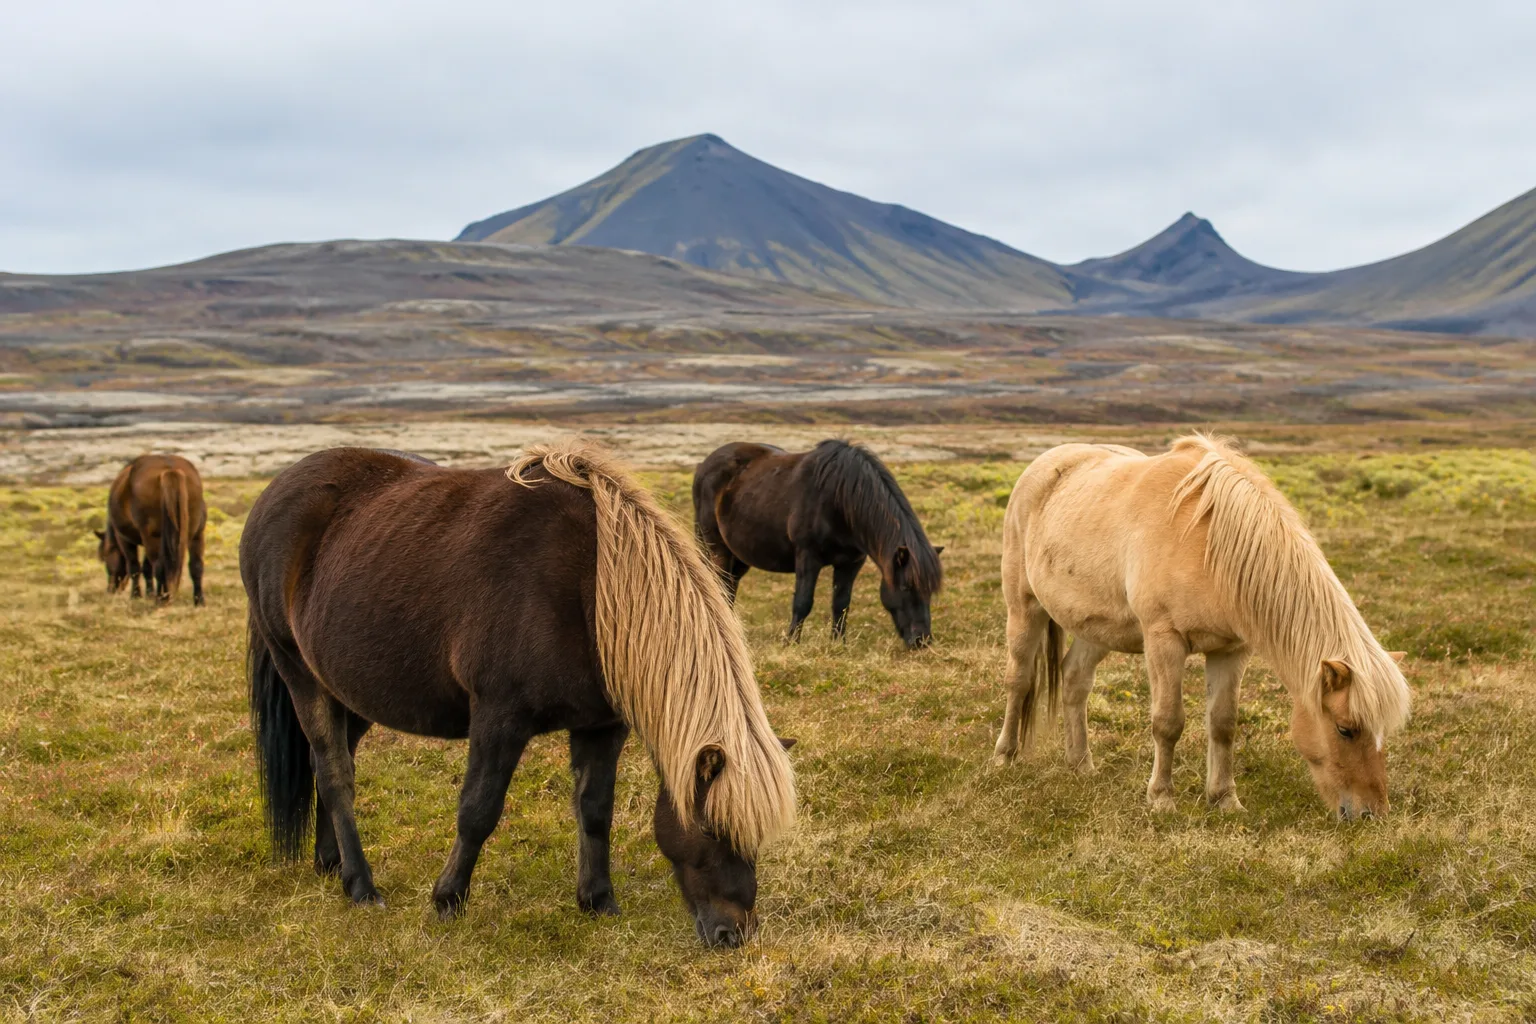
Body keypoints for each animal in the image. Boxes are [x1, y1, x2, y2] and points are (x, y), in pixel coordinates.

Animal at [94, 454, 207, 605]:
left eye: (105, 557)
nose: (111, 590)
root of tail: (169, 470)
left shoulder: (124, 539)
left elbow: (134, 567)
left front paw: (136, 595)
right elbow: (146, 567)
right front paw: (149, 594)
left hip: (153, 537)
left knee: (159, 567)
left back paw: (161, 599)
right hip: (195, 535)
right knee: (196, 566)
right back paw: (198, 601)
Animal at [240, 441, 796, 947]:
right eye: (715, 830)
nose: (734, 935)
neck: (592, 588)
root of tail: (273, 492)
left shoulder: (602, 726)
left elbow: (596, 810)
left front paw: (598, 900)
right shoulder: (498, 718)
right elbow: (478, 810)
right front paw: (448, 900)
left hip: (348, 690)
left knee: (332, 765)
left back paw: (330, 862)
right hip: (300, 675)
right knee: (335, 773)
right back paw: (361, 887)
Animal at [693, 440, 943, 649]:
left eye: (930, 591)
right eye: (906, 587)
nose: (922, 640)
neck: (840, 501)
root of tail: (705, 465)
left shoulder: (851, 563)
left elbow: (841, 604)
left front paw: (839, 643)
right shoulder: (808, 557)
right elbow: (803, 602)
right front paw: (791, 643)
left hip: (740, 555)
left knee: (730, 586)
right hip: (717, 547)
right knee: (720, 584)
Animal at [992, 434, 1411, 821]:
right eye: (1345, 729)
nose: (1373, 813)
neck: (1210, 543)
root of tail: (1046, 462)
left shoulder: (1231, 650)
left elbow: (1223, 724)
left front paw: (1224, 799)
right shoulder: (1164, 639)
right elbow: (1168, 722)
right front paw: (1161, 798)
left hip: (1097, 628)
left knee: (1075, 680)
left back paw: (1081, 765)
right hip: (1024, 607)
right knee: (1020, 679)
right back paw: (1004, 756)